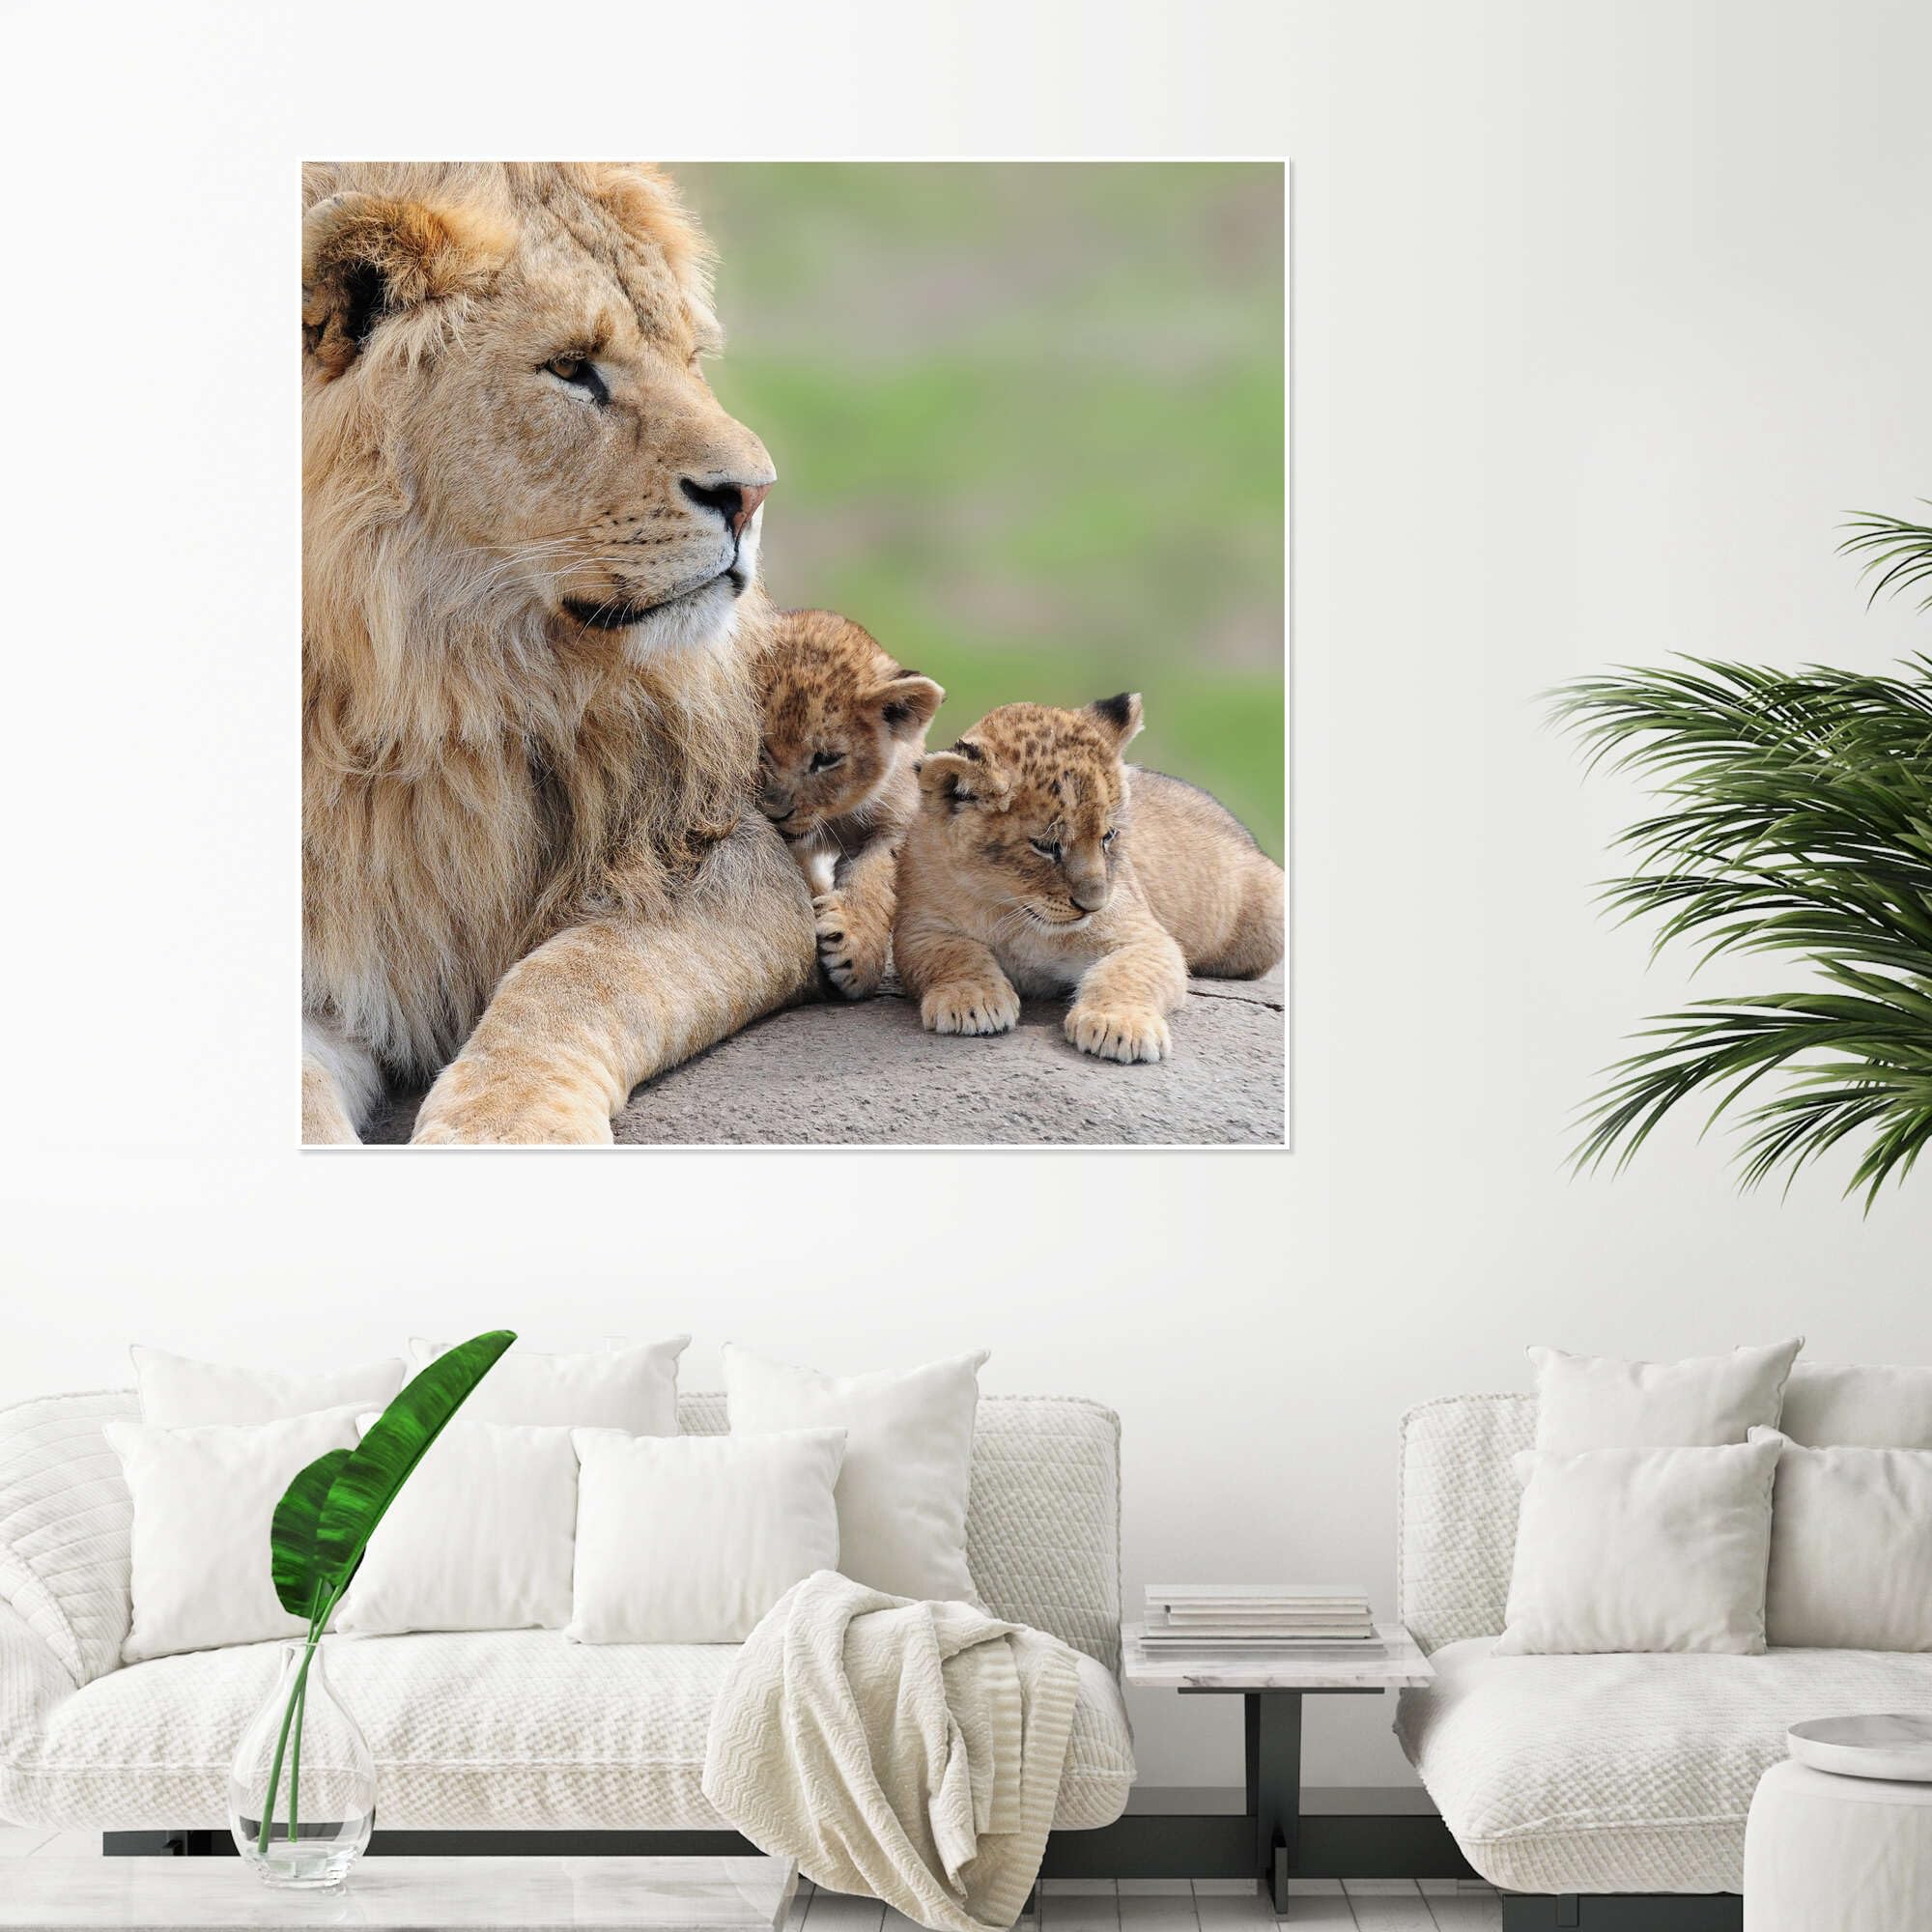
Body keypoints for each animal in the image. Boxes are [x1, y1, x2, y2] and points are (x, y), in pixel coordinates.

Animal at [301, 162, 817, 1144]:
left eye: (691, 358)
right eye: (572, 368)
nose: (754, 495)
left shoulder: (724, 855)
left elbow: (575, 975)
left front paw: (506, 1129)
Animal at [755, 609, 944, 998]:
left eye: (826, 759)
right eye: (761, 747)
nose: (777, 812)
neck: (836, 814)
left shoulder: (894, 821)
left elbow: (876, 876)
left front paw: (855, 951)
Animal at [893, 694, 1284, 1063]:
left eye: (1108, 835)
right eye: (1046, 846)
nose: (1093, 906)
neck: (1010, 908)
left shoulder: (1144, 936)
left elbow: (1127, 972)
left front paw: (1119, 1025)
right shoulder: (919, 929)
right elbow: (956, 954)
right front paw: (971, 1000)